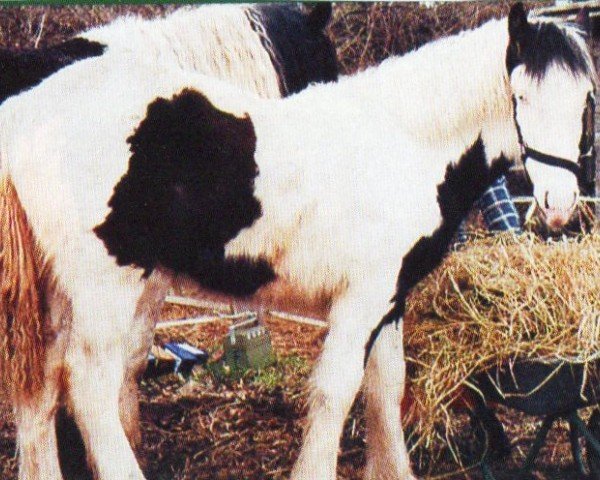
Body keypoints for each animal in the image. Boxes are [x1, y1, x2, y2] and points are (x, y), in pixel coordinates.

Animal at [0, 3, 596, 480]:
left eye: (586, 100)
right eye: (520, 96)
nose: (559, 203)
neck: (404, 142)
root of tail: (26, 112)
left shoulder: (388, 300)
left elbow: (384, 390)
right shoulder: (360, 302)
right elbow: (336, 391)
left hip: (57, 296)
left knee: (40, 386)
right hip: (106, 291)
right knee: (89, 387)